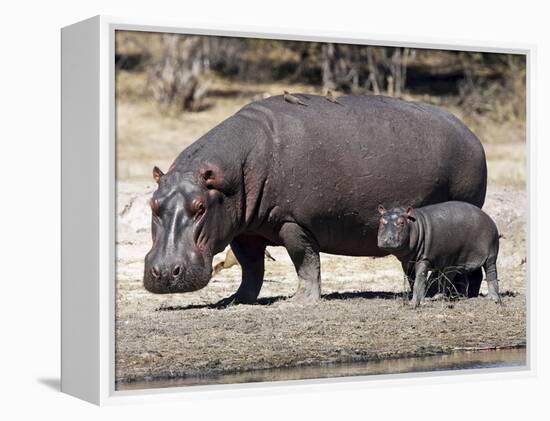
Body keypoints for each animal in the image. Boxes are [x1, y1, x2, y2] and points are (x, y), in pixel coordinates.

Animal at [143, 92, 488, 302]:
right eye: (152, 203)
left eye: (200, 206)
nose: (164, 272)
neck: (229, 176)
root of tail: (471, 134)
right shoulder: (243, 229)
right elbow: (251, 268)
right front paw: (235, 300)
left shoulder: (293, 222)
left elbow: (306, 261)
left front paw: (298, 301)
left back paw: (455, 296)